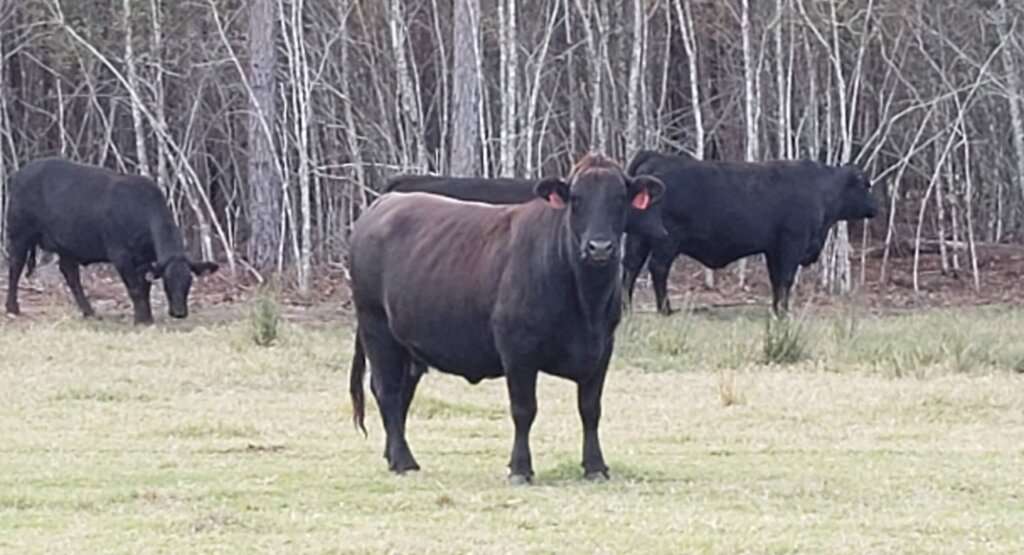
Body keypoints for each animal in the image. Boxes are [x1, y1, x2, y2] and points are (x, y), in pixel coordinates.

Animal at [6, 157, 218, 325]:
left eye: (189, 281)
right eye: (166, 281)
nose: (179, 313)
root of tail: (22, 172)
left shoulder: (145, 260)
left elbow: (145, 287)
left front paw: (146, 317)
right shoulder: (120, 255)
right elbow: (135, 288)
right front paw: (142, 320)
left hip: (67, 243)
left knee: (70, 273)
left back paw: (89, 312)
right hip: (19, 233)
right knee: (15, 267)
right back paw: (12, 308)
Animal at [352, 154, 667, 485]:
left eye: (620, 198)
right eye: (576, 199)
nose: (600, 247)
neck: (585, 303)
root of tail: (384, 203)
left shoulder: (602, 349)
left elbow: (590, 409)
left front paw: (595, 466)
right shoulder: (518, 350)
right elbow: (524, 410)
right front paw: (520, 468)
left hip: (408, 346)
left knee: (403, 393)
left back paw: (394, 456)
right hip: (376, 327)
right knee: (386, 390)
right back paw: (403, 460)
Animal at [622, 150, 880, 315]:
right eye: (866, 185)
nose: (877, 207)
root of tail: (657, 157)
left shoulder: (773, 249)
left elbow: (776, 279)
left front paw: (777, 309)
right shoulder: (792, 243)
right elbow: (786, 278)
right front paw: (784, 312)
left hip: (639, 237)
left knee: (631, 266)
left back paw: (626, 307)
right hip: (667, 240)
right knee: (658, 268)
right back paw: (665, 309)